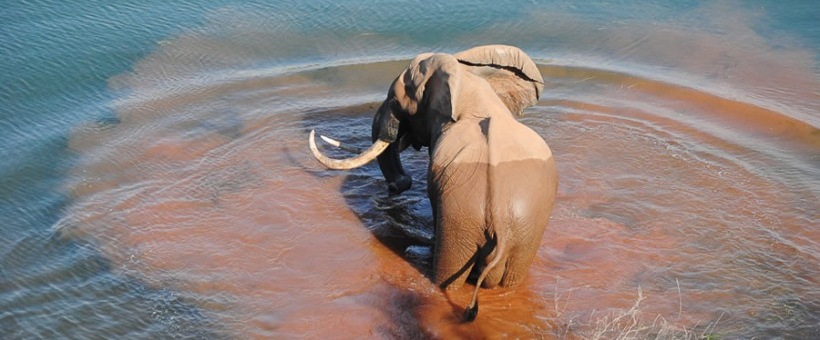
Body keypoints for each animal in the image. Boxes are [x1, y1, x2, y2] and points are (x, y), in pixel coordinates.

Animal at [308, 45, 556, 322]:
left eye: (396, 102)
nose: (396, 186)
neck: (468, 82)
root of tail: (501, 221)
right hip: (524, 230)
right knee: (511, 280)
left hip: (463, 218)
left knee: (448, 281)